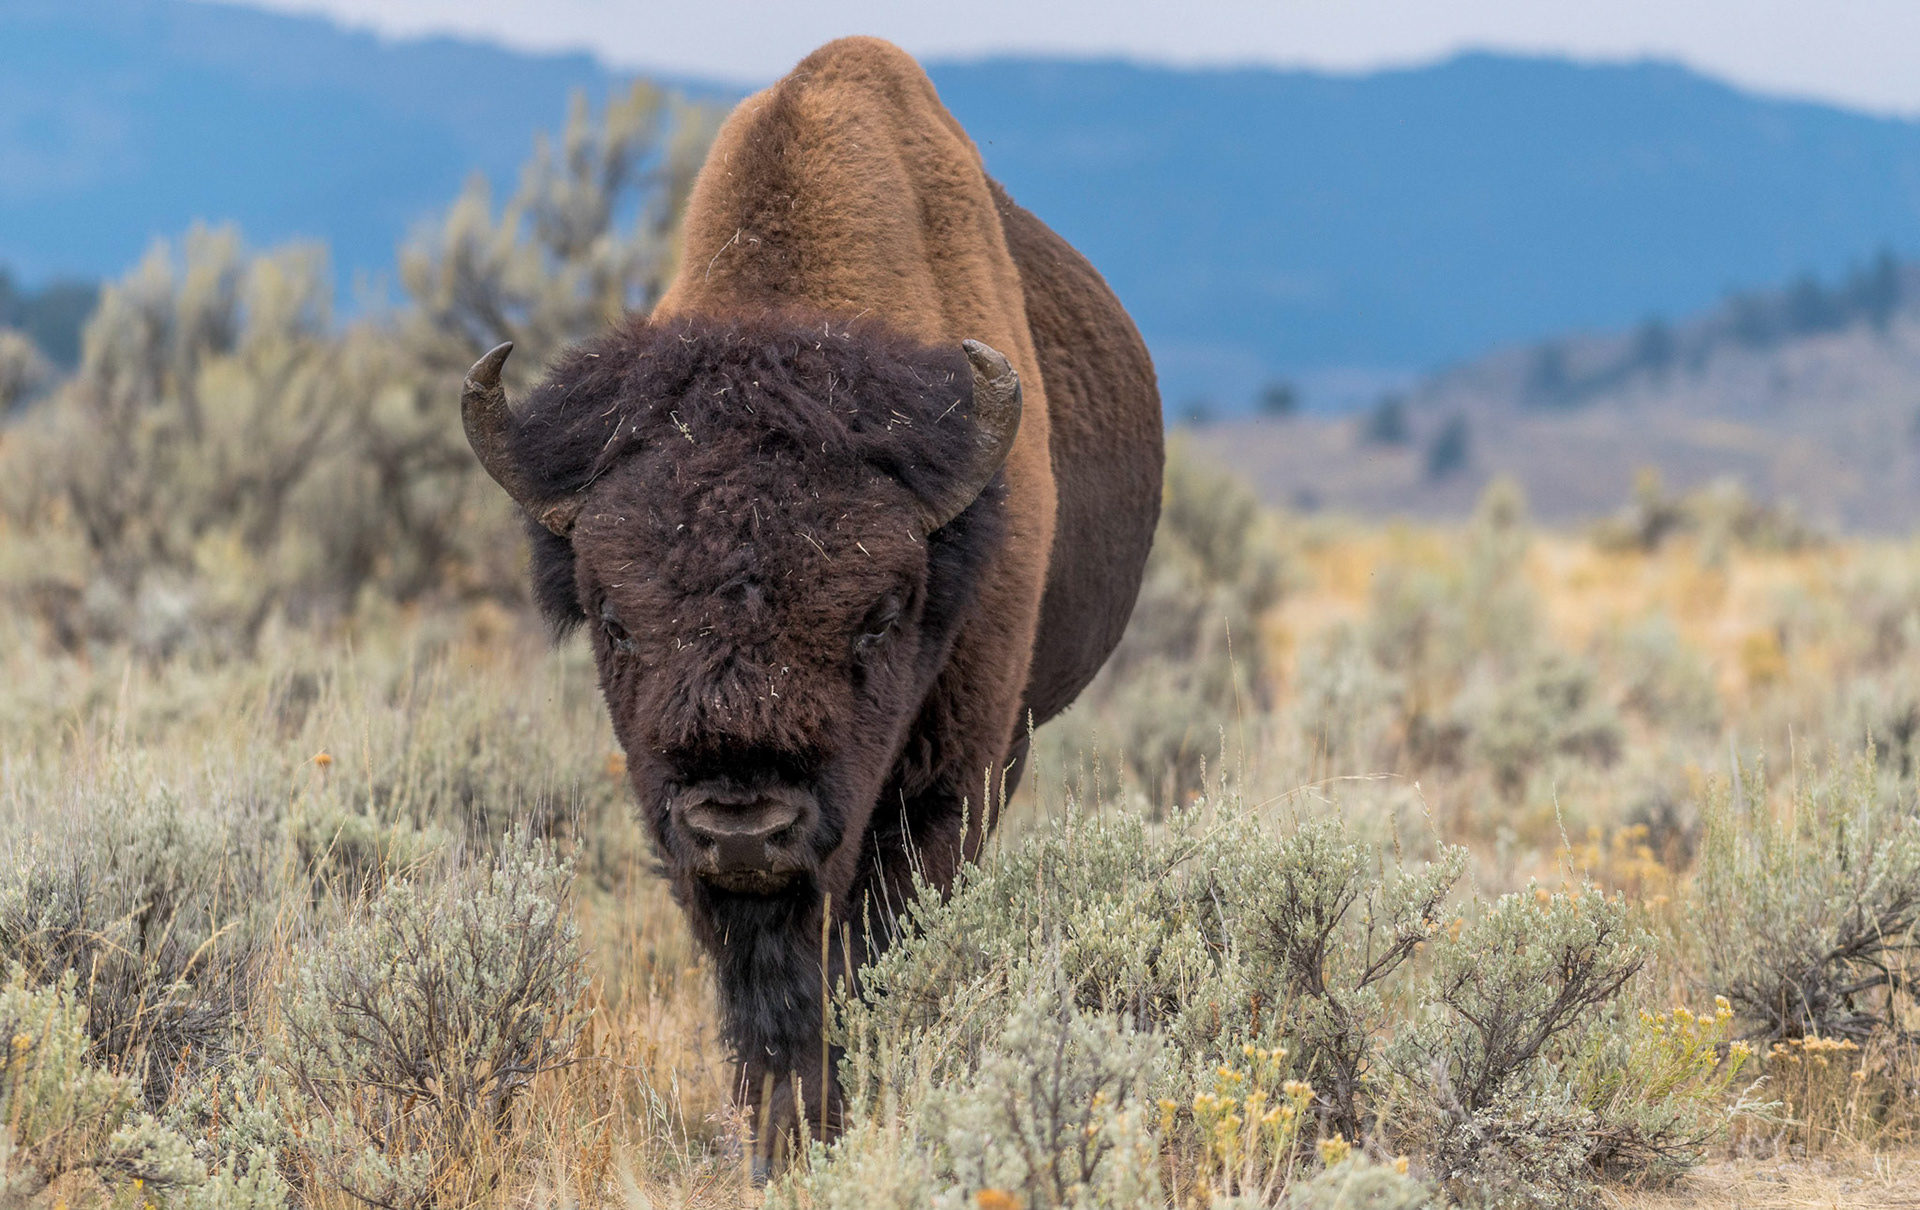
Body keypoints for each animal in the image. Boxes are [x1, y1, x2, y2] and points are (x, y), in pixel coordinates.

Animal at [459, 36, 1163, 1150]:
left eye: (880, 616)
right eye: (615, 619)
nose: (745, 824)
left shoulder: (952, 777)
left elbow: (870, 952)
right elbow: (769, 990)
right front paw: (780, 1134)